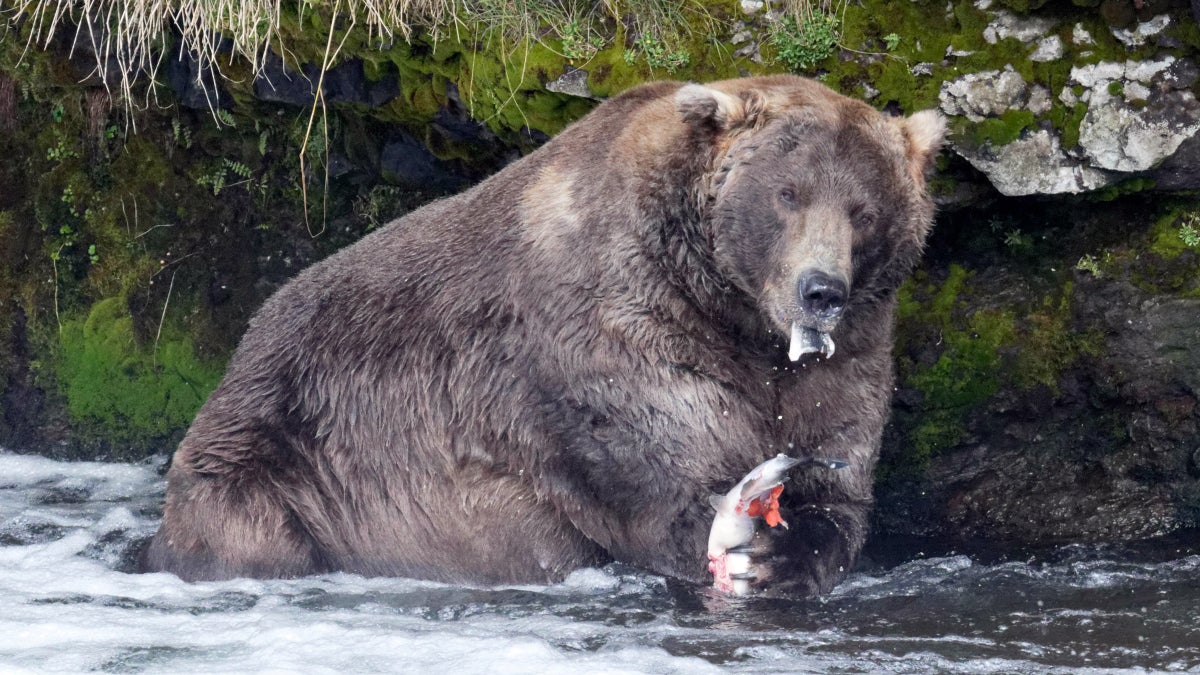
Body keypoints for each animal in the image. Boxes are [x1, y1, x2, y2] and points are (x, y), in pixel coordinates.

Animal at [140, 75, 945, 597]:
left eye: (863, 208)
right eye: (787, 193)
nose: (822, 290)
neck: (735, 316)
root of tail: (242, 346)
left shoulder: (844, 359)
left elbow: (837, 483)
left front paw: (788, 551)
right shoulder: (609, 336)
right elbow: (659, 474)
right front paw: (739, 535)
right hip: (282, 455)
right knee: (246, 528)